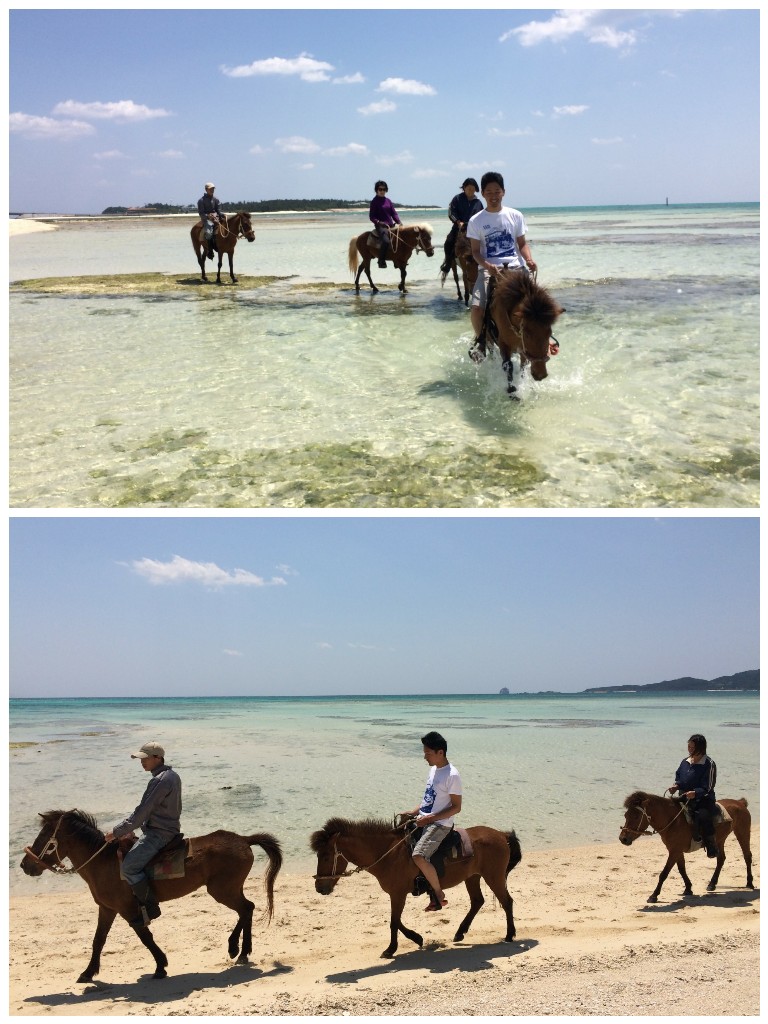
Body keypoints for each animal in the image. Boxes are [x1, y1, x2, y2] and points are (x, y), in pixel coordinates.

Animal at [22, 806, 284, 983]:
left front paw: (160, 966)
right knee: (247, 909)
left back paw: (237, 950)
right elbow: (98, 940)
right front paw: (88, 973)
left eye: (44, 836)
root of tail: (244, 840)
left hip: (222, 890)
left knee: (246, 909)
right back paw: (239, 950)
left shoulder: (128, 910)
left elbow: (145, 937)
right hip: (228, 889)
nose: (25, 865)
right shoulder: (107, 909)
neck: (102, 862)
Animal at [313, 815, 524, 958]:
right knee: (477, 902)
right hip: (472, 877)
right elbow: (396, 920)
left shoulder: (398, 894)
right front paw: (416, 938)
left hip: (493, 877)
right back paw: (460, 933)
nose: (319, 887)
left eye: (325, 856)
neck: (388, 853)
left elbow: (394, 921)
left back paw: (509, 934)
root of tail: (501, 835)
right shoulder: (397, 894)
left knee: (507, 902)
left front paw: (392, 949)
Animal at [618, 790, 757, 905]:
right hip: (720, 840)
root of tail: (740, 802)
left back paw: (749, 883)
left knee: (747, 856)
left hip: (742, 832)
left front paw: (654, 895)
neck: (673, 821)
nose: (622, 839)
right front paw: (688, 888)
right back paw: (712, 884)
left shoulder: (674, 851)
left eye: (636, 816)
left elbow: (664, 873)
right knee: (721, 859)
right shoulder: (676, 850)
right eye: (626, 815)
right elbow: (682, 869)